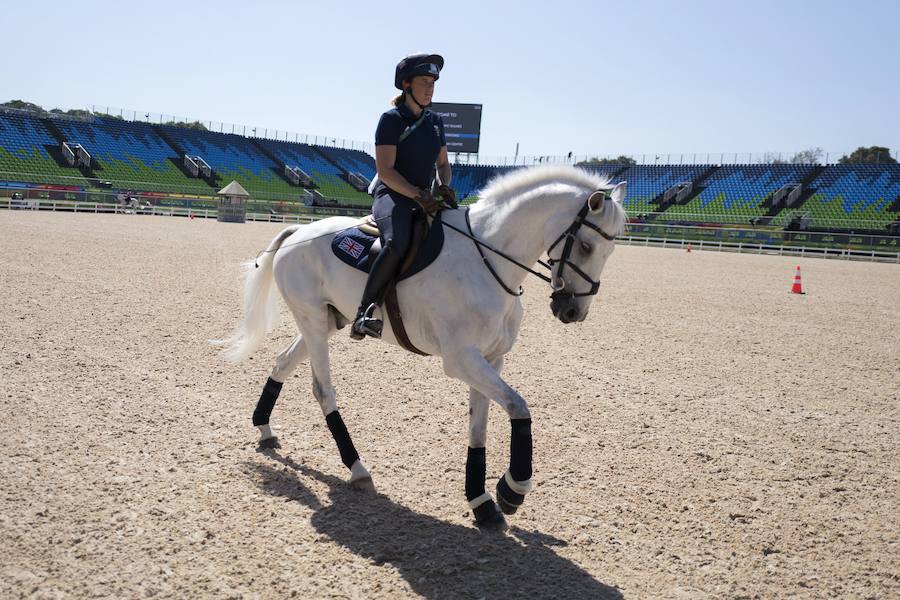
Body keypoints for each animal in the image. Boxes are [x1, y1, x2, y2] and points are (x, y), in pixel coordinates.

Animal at [217, 164, 624, 528]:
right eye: (586, 245)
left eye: (609, 252)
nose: (573, 311)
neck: (487, 260)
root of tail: (298, 230)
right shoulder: (461, 359)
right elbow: (519, 407)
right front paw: (513, 489)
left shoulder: (491, 360)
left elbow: (480, 427)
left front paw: (482, 502)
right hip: (315, 324)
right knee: (323, 391)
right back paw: (357, 467)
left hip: (326, 322)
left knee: (283, 362)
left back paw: (264, 428)